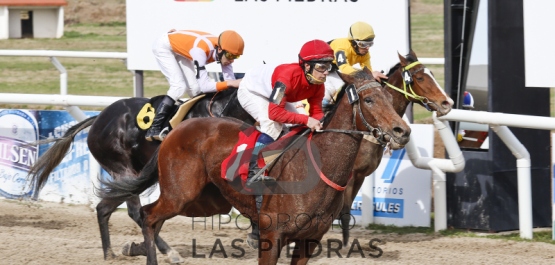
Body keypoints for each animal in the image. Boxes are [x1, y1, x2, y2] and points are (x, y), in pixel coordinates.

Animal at [25, 88, 252, 260]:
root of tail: (98, 118)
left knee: (106, 208)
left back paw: (112, 253)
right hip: (124, 170)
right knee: (133, 211)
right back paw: (160, 251)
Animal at [97, 67, 412, 262]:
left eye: (389, 97)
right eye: (369, 100)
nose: (402, 131)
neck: (316, 167)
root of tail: (174, 131)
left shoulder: (309, 240)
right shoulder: (272, 235)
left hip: (205, 202)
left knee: (150, 217)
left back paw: (138, 248)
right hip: (180, 193)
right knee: (148, 215)